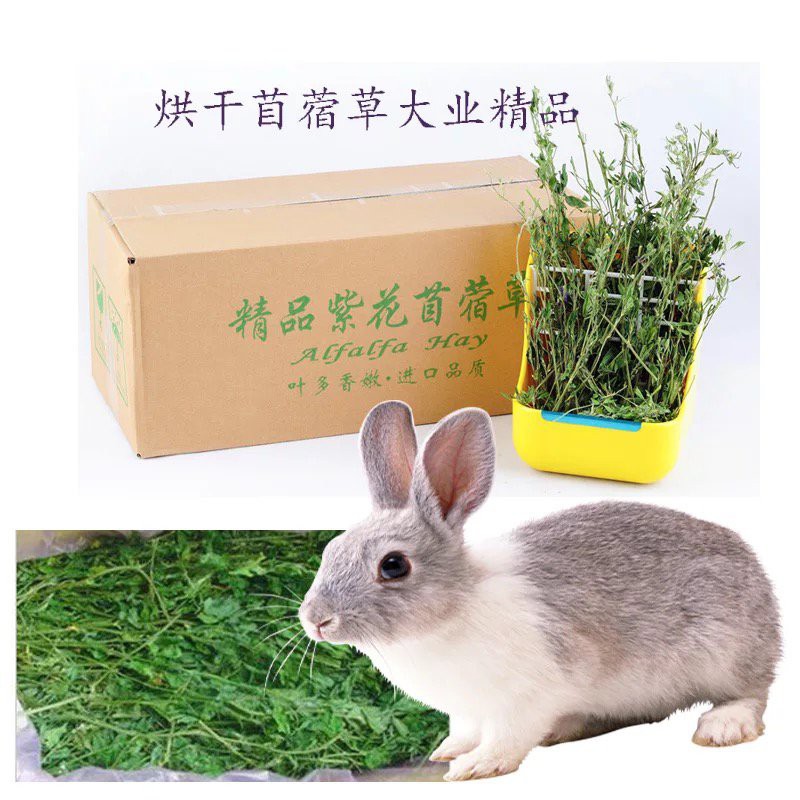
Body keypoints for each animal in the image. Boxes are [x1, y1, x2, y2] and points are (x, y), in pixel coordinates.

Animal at [299, 400, 781, 781]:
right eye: (332, 549)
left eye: (393, 565)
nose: (316, 620)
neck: (454, 609)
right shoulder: (468, 710)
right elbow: (464, 731)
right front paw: (447, 751)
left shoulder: (526, 696)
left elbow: (508, 738)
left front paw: (476, 766)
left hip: (725, 654)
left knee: (754, 694)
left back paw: (722, 727)